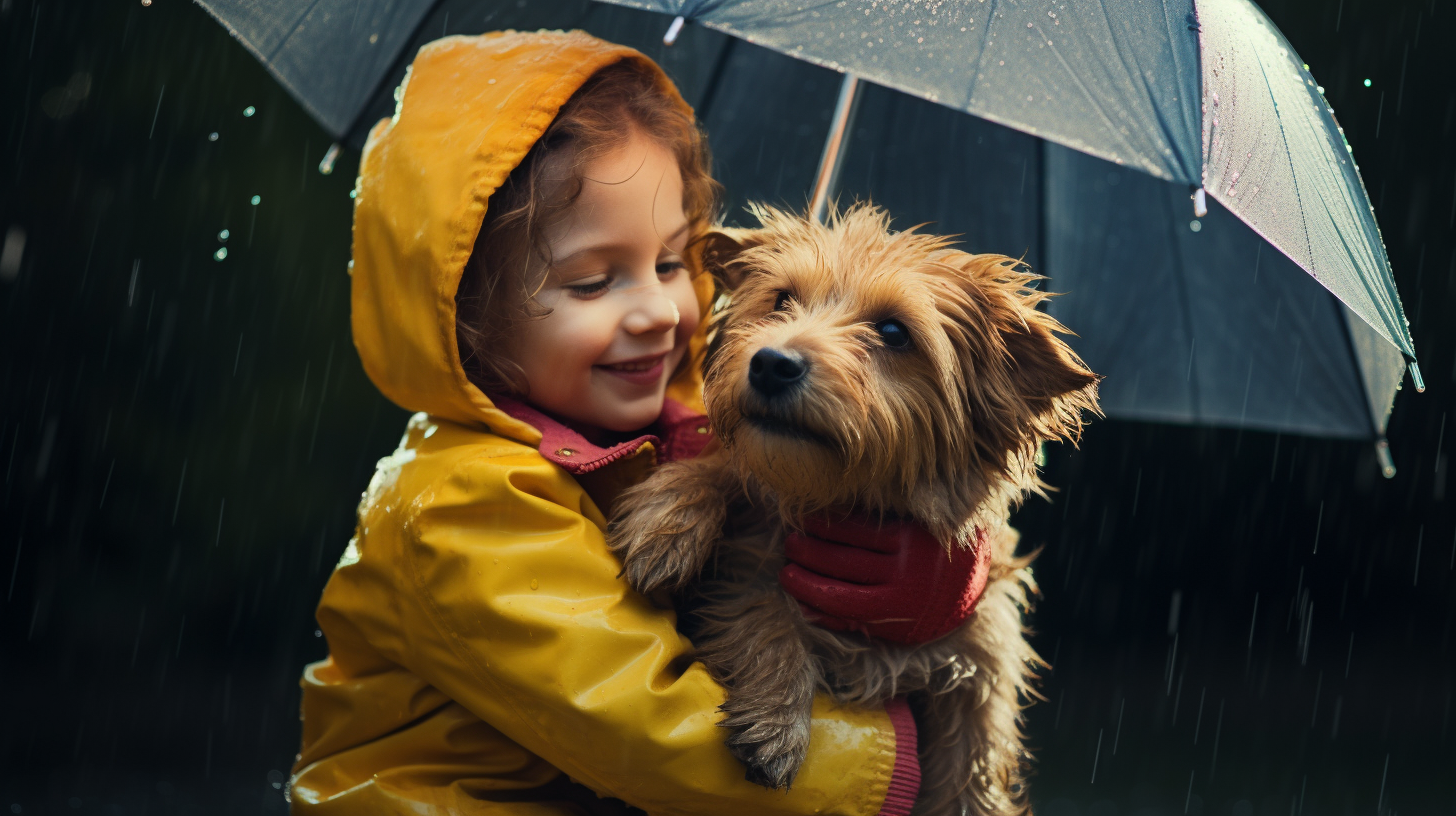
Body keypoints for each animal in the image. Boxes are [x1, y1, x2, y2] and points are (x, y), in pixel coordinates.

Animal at [608, 204, 1094, 816]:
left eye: (893, 332)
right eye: (781, 300)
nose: (771, 363)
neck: (847, 505)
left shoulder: (979, 663)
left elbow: (970, 776)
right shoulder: (753, 563)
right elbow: (760, 600)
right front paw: (668, 526)